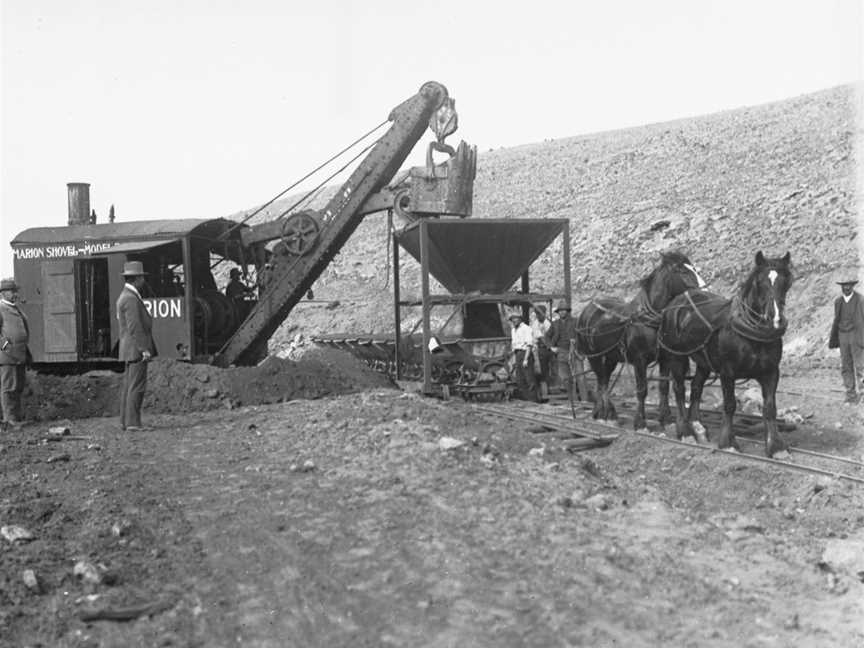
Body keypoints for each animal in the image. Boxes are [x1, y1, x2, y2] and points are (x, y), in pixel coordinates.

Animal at [572, 252, 704, 430]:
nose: (704, 291)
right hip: (594, 356)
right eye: (682, 271)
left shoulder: (665, 359)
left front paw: (666, 419)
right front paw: (640, 422)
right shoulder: (639, 360)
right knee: (601, 380)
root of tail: (587, 310)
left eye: (695, 269)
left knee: (604, 379)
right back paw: (603, 413)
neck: (650, 319)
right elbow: (642, 390)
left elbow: (664, 387)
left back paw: (606, 413)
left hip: (611, 357)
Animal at [660, 251, 792, 458]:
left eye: (786, 282)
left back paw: (697, 425)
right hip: (676, 357)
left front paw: (776, 447)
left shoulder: (771, 372)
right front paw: (728, 442)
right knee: (679, 389)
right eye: (759, 282)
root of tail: (677, 300)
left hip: (703, 361)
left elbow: (770, 408)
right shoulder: (727, 373)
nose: (775, 319)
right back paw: (685, 431)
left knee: (696, 387)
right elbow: (730, 405)